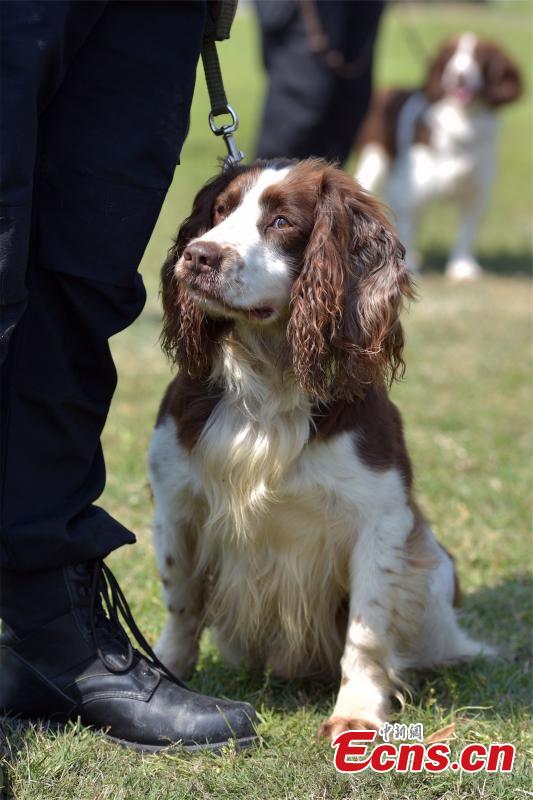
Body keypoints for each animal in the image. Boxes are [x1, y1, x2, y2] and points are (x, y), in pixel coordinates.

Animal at [148, 159, 493, 740]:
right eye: (219, 211)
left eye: (282, 221)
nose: (198, 256)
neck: (270, 375)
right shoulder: (175, 501)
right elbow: (181, 601)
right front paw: (168, 676)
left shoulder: (380, 518)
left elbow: (367, 630)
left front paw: (357, 711)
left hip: (433, 570)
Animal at [355, 33, 522, 280]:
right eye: (450, 55)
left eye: (479, 57)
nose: (458, 76)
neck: (463, 122)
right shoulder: (410, 189)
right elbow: (409, 225)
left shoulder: (477, 192)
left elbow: (467, 231)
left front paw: (462, 267)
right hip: (374, 161)